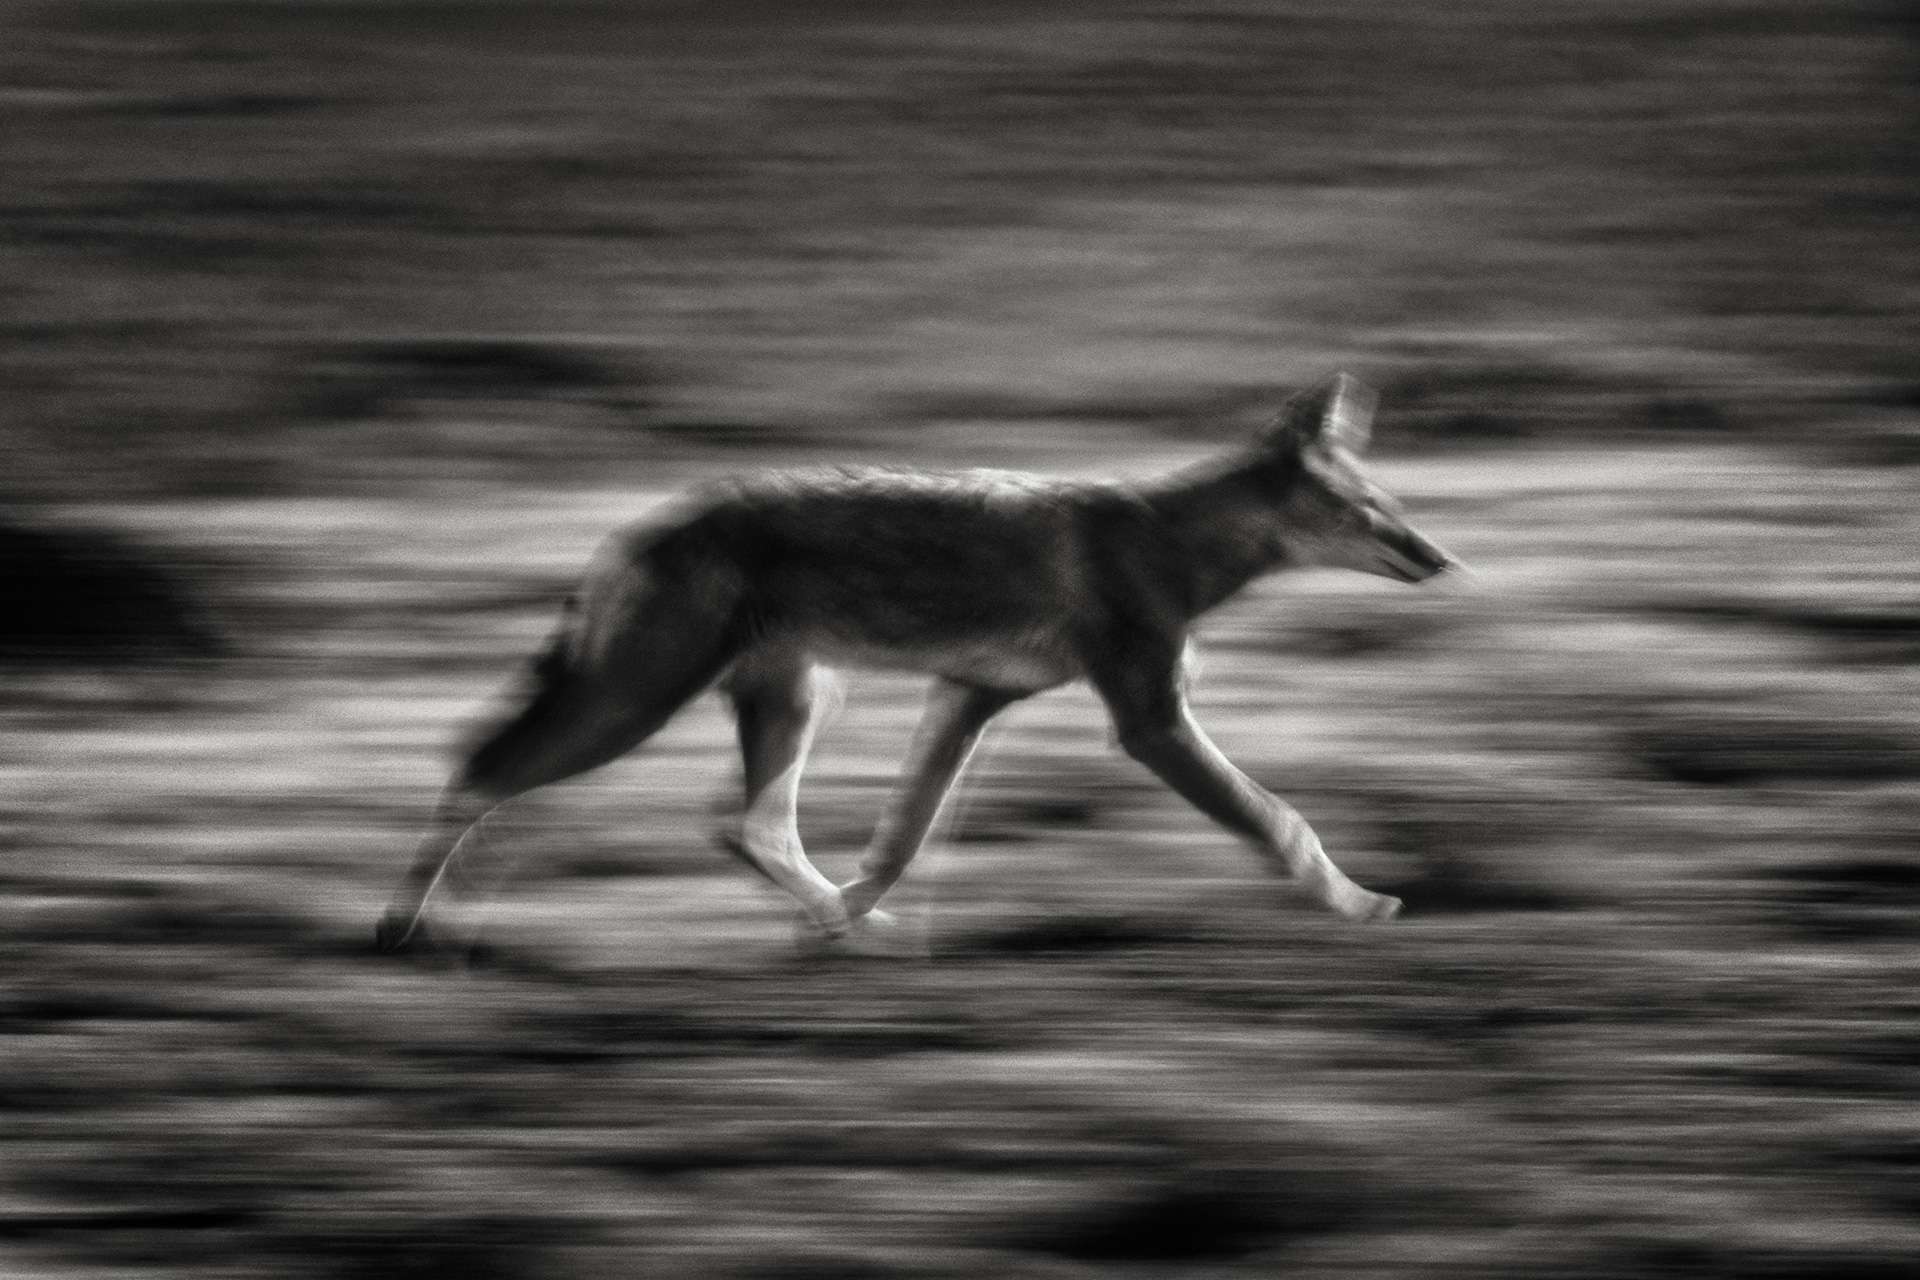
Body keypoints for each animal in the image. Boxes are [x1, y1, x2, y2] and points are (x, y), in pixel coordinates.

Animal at [370, 370, 1451, 951]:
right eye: (1371, 509)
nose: (1441, 558)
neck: (1170, 542)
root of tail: (633, 527)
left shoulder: (965, 698)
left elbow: (900, 838)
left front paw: (851, 922)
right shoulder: (1150, 723)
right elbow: (1283, 821)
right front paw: (1360, 904)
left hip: (797, 703)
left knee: (742, 824)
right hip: (638, 703)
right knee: (482, 773)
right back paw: (406, 929)